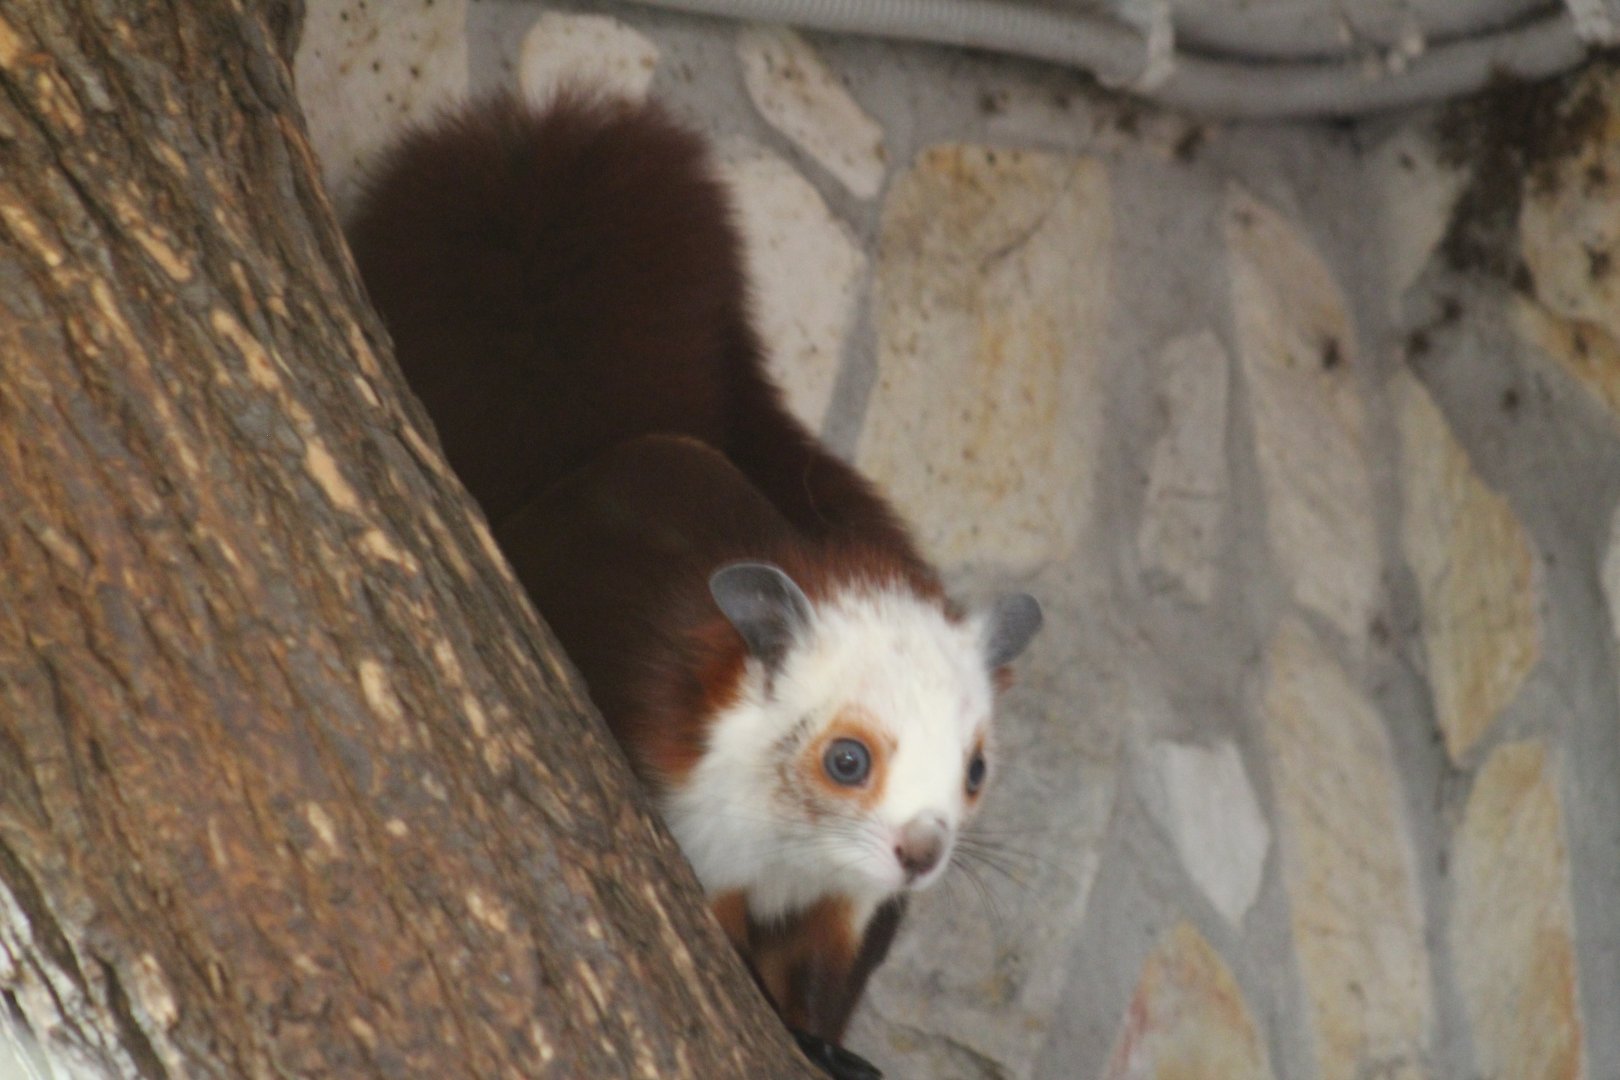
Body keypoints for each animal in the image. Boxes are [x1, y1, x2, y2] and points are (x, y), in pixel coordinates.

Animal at [346, 92, 1041, 1077]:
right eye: (847, 759)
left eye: (977, 767)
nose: (921, 850)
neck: (796, 847)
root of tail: (593, 453)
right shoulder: (692, 837)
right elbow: (740, 970)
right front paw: (797, 1037)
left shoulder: (850, 905)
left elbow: (822, 980)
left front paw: (830, 1047)